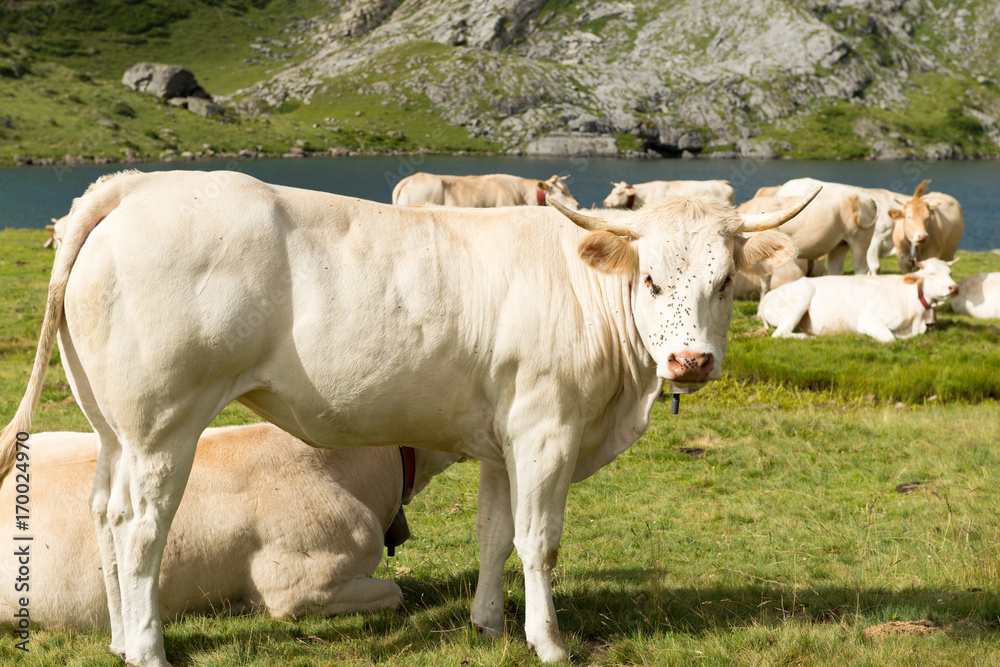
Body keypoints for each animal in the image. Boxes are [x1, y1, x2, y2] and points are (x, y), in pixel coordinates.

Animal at [756, 258, 960, 342]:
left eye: (950, 272)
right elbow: (890, 339)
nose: (954, 287)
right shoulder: (870, 321)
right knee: (780, 333)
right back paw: (809, 336)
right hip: (801, 299)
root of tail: (772, 293)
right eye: (931, 273)